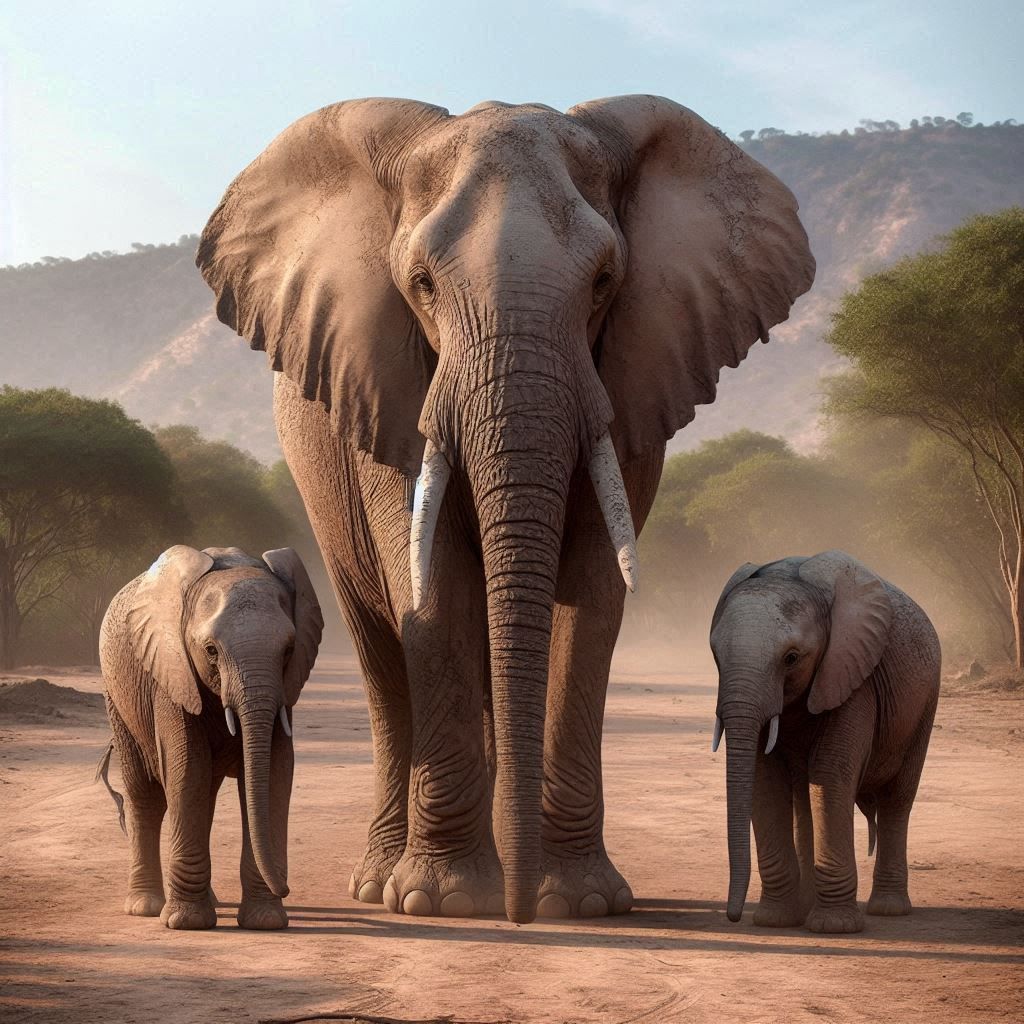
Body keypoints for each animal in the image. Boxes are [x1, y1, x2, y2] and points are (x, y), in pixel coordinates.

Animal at [98, 545, 323, 930]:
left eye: (288, 651)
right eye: (211, 650)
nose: (286, 888)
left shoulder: (284, 690)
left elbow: (276, 770)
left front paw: (266, 920)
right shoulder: (171, 674)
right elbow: (187, 767)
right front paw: (186, 922)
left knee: (206, 795)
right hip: (118, 698)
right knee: (146, 792)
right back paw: (146, 905)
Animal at [196, 95, 815, 923]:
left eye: (605, 280)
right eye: (421, 282)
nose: (519, 913)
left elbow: (594, 597)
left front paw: (580, 902)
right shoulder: (384, 390)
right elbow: (435, 590)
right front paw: (445, 900)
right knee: (382, 658)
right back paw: (383, 882)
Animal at [709, 550, 940, 933]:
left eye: (791, 658)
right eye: (714, 655)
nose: (733, 916)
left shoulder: (853, 675)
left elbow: (831, 774)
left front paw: (834, 927)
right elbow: (765, 779)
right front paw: (775, 920)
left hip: (923, 705)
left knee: (897, 798)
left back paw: (887, 909)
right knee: (804, 798)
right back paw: (804, 909)